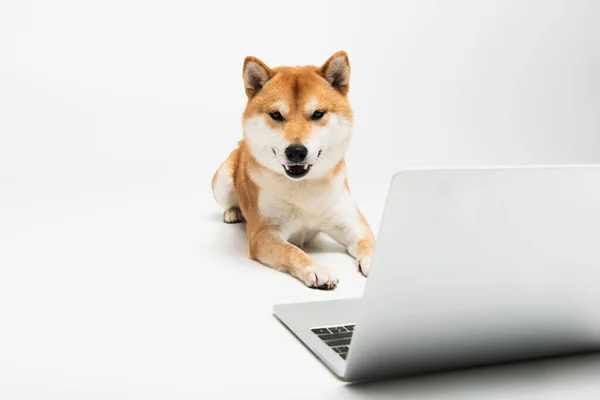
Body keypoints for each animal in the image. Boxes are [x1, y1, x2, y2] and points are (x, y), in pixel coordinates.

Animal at [211, 51, 370, 290]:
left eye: (318, 114)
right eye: (276, 115)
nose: (296, 151)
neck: (303, 189)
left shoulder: (354, 226)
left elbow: (369, 244)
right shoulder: (264, 233)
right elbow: (292, 251)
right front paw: (316, 269)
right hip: (222, 180)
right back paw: (233, 212)